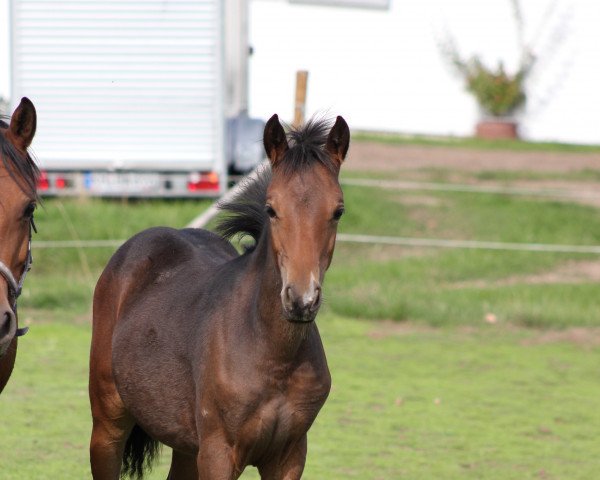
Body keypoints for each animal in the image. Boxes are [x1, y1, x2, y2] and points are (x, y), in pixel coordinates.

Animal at [89, 114, 352, 478]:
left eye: (338, 211)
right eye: (271, 208)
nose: (301, 299)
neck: (274, 357)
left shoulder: (290, 455)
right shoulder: (218, 454)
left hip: (186, 443)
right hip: (108, 425)